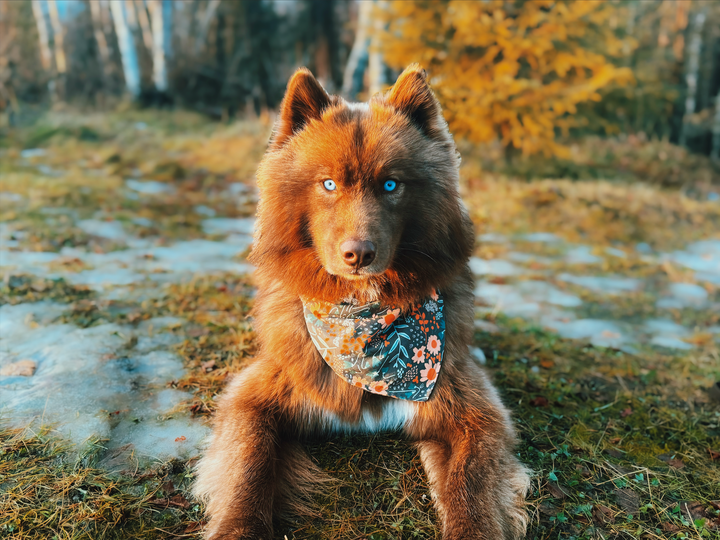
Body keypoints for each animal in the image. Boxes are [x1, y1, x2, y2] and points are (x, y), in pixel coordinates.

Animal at [194, 65, 532, 536]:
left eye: (391, 185)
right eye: (328, 184)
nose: (358, 255)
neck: (364, 317)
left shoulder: (474, 411)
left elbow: (471, 488)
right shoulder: (256, 395)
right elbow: (249, 463)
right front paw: (238, 528)